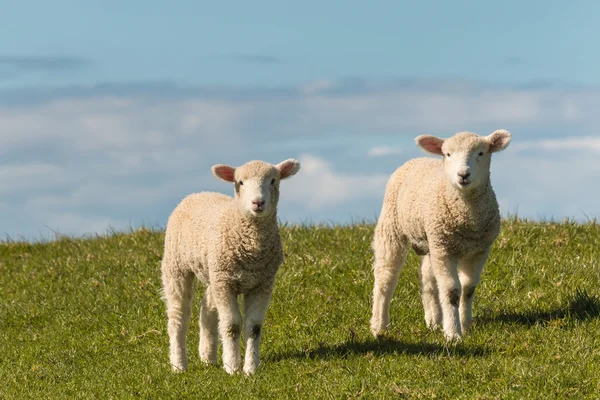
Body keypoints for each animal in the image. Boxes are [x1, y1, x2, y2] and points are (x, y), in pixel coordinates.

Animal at [161, 158, 300, 374]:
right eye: (240, 182)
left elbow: (254, 326)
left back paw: (208, 357)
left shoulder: (262, 283)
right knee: (178, 315)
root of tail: (197, 194)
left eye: (273, 180)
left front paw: (251, 368)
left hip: (214, 272)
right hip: (177, 266)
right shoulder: (226, 284)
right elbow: (231, 325)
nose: (258, 202)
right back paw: (179, 365)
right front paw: (233, 368)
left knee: (207, 308)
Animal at [370, 129, 510, 340]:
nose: (463, 175)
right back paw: (379, 326)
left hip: (431, 242)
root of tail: (417, 159)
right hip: (392, 227)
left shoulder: (479, 250)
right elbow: (452, 291)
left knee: (428, 281)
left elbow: (468, 288)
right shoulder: (444, 250)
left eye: (481, 153)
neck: (467, 219)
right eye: (448, 154)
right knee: (385, 277)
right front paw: (453, 334)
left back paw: (434, 321)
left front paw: (465, 326)